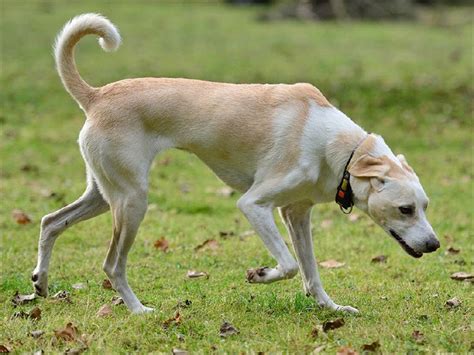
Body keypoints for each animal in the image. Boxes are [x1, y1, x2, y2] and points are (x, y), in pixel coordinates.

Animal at [32, 13, 440, 314]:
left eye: (424, 206)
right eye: (405, 209)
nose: (435, 245)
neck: (341, 149)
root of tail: (97, 95)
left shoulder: (297, 214)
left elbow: (311, 271)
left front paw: (330, 307)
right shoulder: (254, 205)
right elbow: (289, 265)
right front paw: (260, 275)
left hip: (106, 194)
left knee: (51, 222)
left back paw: (41, 282)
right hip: (132, 201)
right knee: (112, 264)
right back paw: (138, 310)